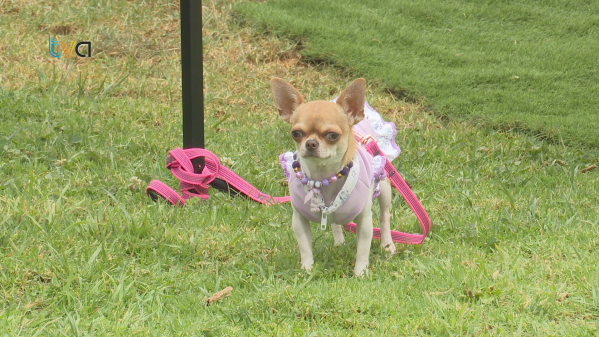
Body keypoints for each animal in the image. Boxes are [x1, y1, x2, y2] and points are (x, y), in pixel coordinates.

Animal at [270, 77, 394, 274]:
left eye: (332, 135)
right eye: (296, 133)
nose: (311, 143)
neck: (323, 177)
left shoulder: (364, 221)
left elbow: (363, 249)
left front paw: (360, 273)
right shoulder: (299, 220)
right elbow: (305, 248)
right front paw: (307, 269)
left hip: (383, 184)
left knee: (384, 215)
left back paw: (387, 245)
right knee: (335, 223)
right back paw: (339, 242)